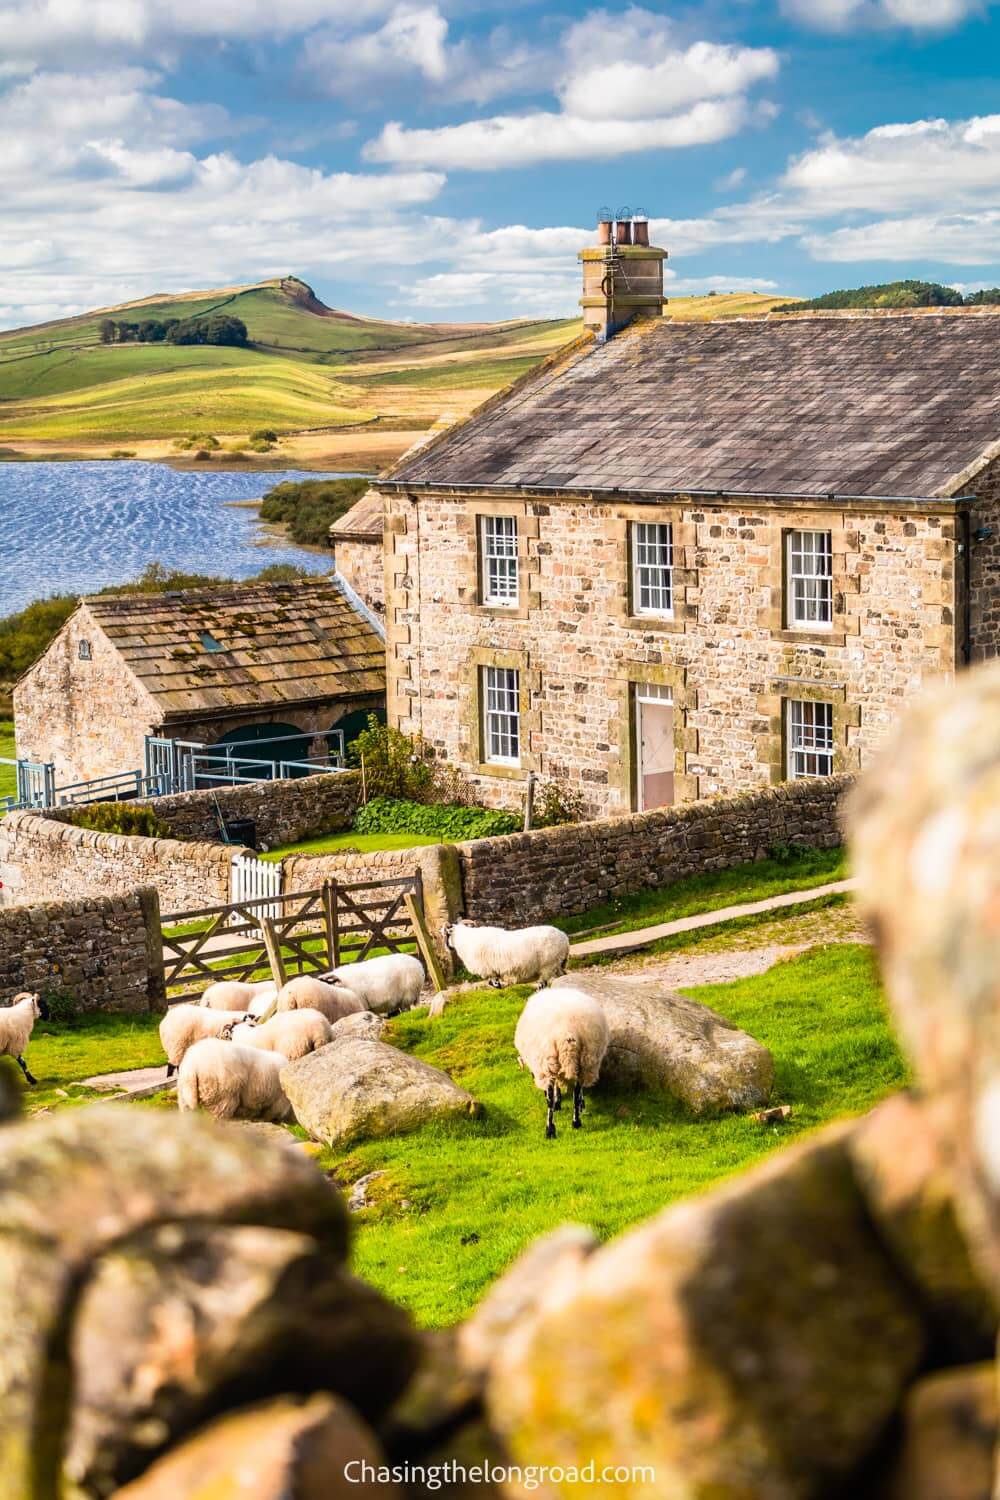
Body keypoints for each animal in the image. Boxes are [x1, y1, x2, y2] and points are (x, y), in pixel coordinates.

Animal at [515, 984, 611, 1134]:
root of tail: (568, 1031)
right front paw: (579, 1104)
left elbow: (554, 1090)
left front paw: (557, 1103)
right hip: (587, 1060)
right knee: (577, 1092)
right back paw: (576, 1122)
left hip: (547, 1062)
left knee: (550, 1098)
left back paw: (550, 1129)